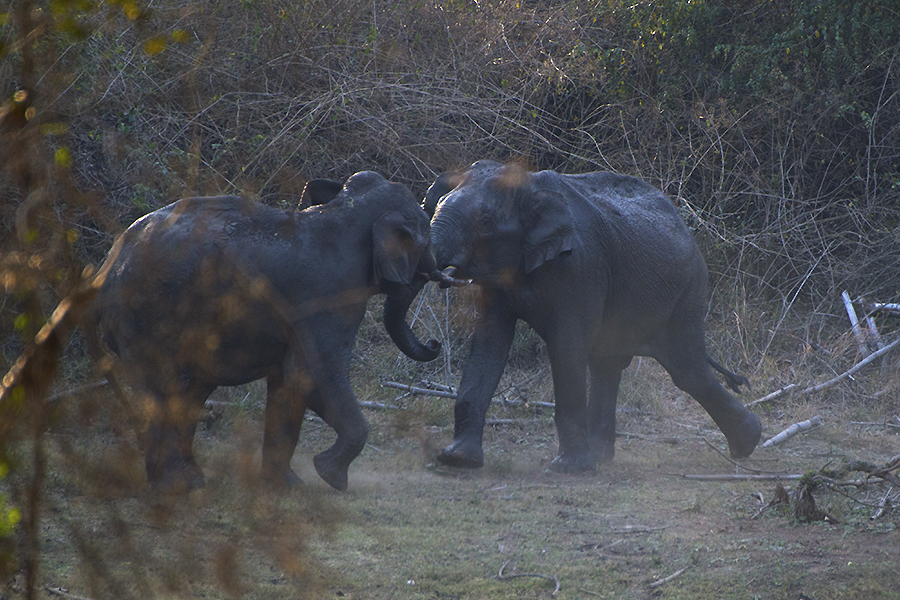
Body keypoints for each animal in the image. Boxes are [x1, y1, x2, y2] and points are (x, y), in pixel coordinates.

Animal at [90, 171, 442, 490]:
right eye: (424, 239)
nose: (435, 343)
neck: (343, 210)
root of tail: (107, 269)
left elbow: (288, 382)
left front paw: (287, 485)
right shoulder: (327, 298)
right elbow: (312, 375)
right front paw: (330, 476)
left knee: (188, 389)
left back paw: (189, 478)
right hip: (149, 316)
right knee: (169, 387)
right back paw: (177, 485)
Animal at [390, 161, 764, 474]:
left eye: (485, 223)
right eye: (434, 206)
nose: (433, 344)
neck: (529, 188)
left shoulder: (582, 267)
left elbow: (567, 348)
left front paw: (568, 469)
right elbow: (489, 345)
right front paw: (457, 460)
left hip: (689, 287)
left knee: (686, 368)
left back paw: (750, 443)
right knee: (611, 363)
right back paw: (604, 456)